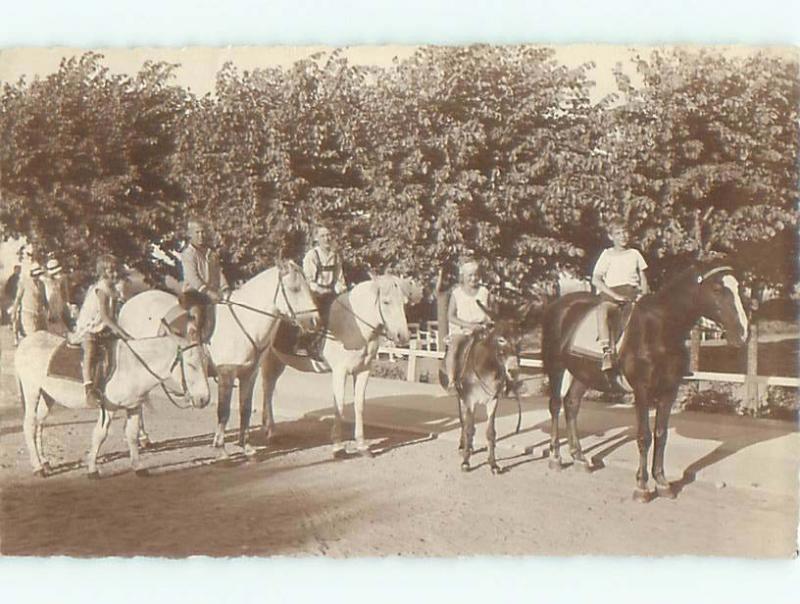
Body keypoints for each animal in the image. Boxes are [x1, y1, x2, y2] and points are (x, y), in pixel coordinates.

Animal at [16, 328, 209, 478]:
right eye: (191, 365)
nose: (204, 399)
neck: (133, 366)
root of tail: (27, 341)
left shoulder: (133, 407)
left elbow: (131, 435)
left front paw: (138, 467)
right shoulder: (109, 408)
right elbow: (100, 435)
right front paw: (92, 470)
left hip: (47, 395)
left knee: (39, 424)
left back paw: (45, 462)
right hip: (32, 390)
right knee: (29, 425)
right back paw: (38, 468)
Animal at [119, 260, 318, 458]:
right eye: (294, 288)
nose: (315, 321)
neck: (244, 322)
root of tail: (129, 304)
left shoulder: (249, 374)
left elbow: (245, 409)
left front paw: (246, 446)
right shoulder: (226, 374)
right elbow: (223, 411)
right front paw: (221, 447)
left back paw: (143, 438)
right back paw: (142, 438)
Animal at [262, 274, 424, 458]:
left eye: (404, 303)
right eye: (386, 302)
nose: (402, 336)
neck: (353, 326)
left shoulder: (363, 371)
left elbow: (359, 405)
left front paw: (362, 446)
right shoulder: (340, 372)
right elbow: (338, 405)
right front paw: (338, 447)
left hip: (278, 361)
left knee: (268, 390)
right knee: (266, 390)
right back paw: (271, 433)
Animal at [536, 260, 752, 500]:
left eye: (739, 288)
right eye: (716, 289)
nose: (743, 333)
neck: (659, 329)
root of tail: (558, 305)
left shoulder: (669, 391)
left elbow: (661, 435)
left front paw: (662, 482)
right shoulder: (642, 391)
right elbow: (644, 436)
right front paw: (642, 486)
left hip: (582, 372)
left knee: (571, 404)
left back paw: (579, 458)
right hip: (556, 366)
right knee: (555, 406)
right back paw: (555, 458)